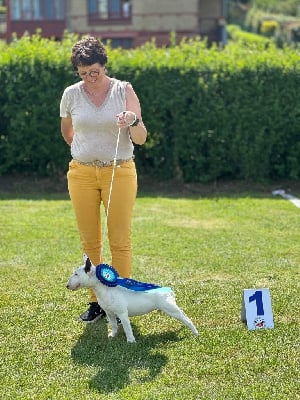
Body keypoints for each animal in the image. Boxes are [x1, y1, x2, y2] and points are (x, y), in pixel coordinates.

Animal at [65, 255, 198, 342]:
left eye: (76, 274)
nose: (67, 286)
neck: (106, 289)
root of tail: (168, 291)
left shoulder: (122, 313)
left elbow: (127, 328)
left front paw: (131, 341)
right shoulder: (110, 313)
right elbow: (113, 325)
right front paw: (112, 335)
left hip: (171, 309)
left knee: (186, 319)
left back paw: (195, 333)